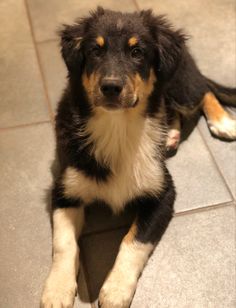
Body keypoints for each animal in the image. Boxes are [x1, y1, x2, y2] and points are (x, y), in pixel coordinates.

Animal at [40, 7, 236, 308]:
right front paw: (57, 290)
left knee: (203, 90)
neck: (117, 128)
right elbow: (64, 244)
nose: (111, 87)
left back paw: (222, 121)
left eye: (137, 52)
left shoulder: (163, 194)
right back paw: (171, 135)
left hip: (179, 84)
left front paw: (116, 290)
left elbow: (134, 242)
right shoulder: (65, 189)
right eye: (95, 50)